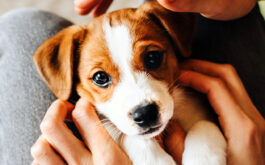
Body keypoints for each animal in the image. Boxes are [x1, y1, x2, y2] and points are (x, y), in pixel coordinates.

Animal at [34, 0, 226, 164]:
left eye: (152, 57)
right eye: (100, 77)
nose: (145, 114)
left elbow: (204, 123)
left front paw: (204, 158)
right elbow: (129, 136)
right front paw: (155, 160)